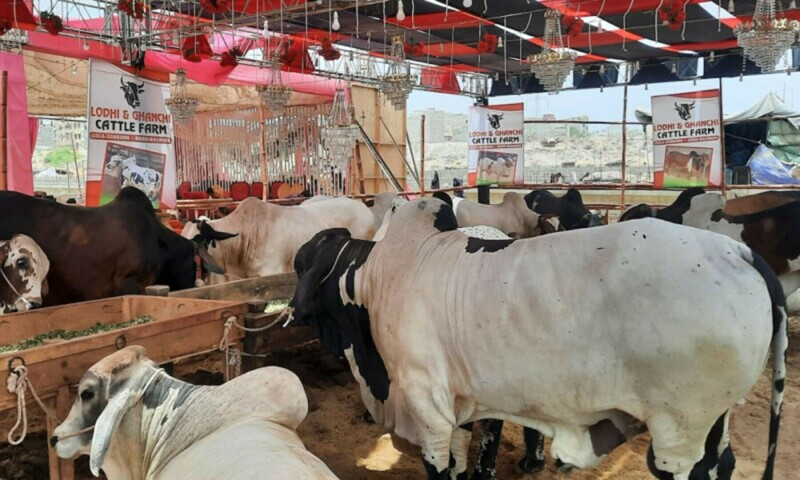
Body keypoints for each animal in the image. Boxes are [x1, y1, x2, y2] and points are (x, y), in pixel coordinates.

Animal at [288, 198, 786, 480]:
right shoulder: (461, 404)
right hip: (715, 419)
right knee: (723, 464)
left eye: (302, 264)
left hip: (678, 430)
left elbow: (442, 467)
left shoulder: (428, 408)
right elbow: (465, 458)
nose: (293, 310)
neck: (378, 276)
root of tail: (736, 251)